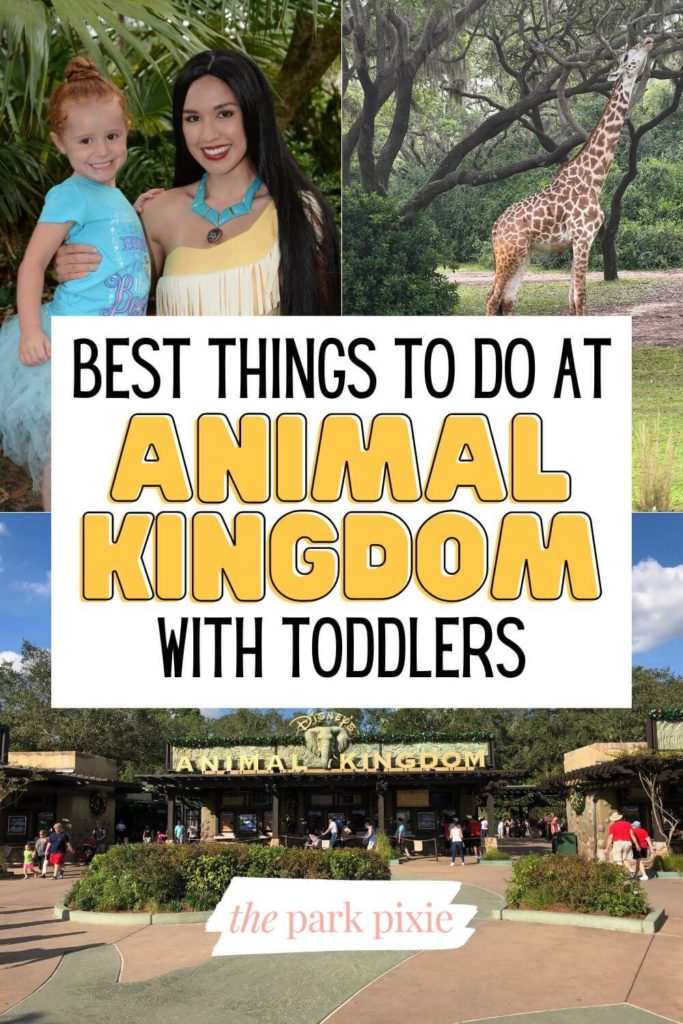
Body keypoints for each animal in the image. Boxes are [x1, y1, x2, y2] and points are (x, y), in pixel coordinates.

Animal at [483, 37, 655, 315]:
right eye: (628, 54)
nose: (649, 40)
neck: (594, 178)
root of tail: (495, 228)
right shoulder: (584, 236)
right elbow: (581, 296)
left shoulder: (578, 241)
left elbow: (572, 298)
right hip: (509, 252)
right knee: (491, 298)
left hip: (524, 253)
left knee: (507, 300)